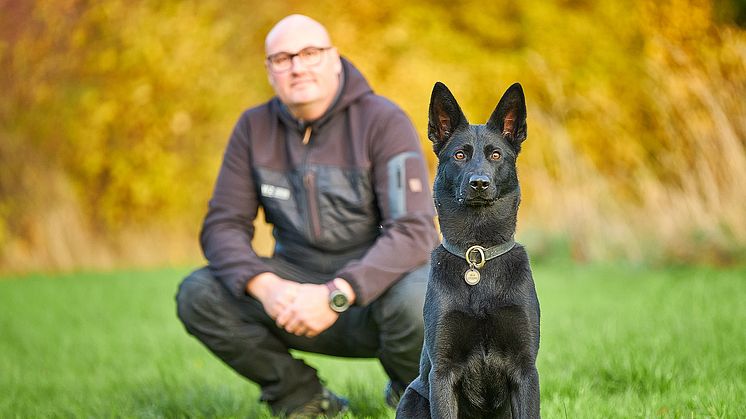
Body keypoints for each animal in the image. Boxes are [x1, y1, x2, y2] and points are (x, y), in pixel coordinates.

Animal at [396, 83, 540, 418]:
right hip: (412, 397)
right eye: (459, 155)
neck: (479, 251)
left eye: (496, 155)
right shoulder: (442, 373)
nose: (479, 183)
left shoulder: (526, 371)